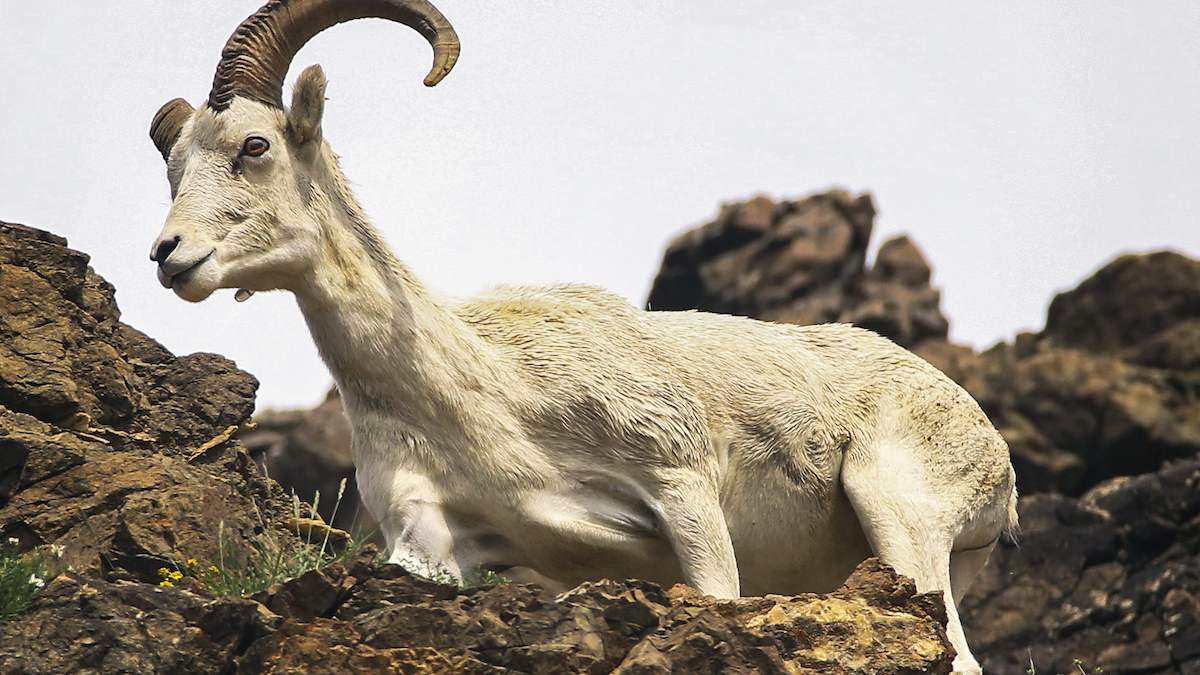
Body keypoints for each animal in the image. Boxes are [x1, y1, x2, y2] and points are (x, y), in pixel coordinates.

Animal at [147, 2, 1012, 667]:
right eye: (174, 168)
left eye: (254, 145)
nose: (168, 255)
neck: (486, 393)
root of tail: (990, 451)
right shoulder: (430, 542)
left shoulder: (682, 490)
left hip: (898, 516)